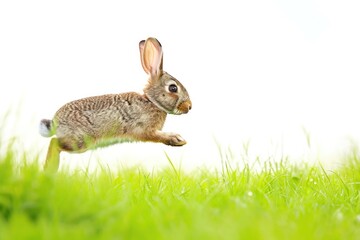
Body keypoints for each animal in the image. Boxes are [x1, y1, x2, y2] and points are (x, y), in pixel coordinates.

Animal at [38, 37, 191, 172]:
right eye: (173, 88)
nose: (189, 106)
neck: (151, 101)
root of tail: (55, 122)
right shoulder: (144, 129)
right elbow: (155, 136)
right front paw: (176, 139)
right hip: (81, 141)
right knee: (54, 143)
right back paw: (50, 170)